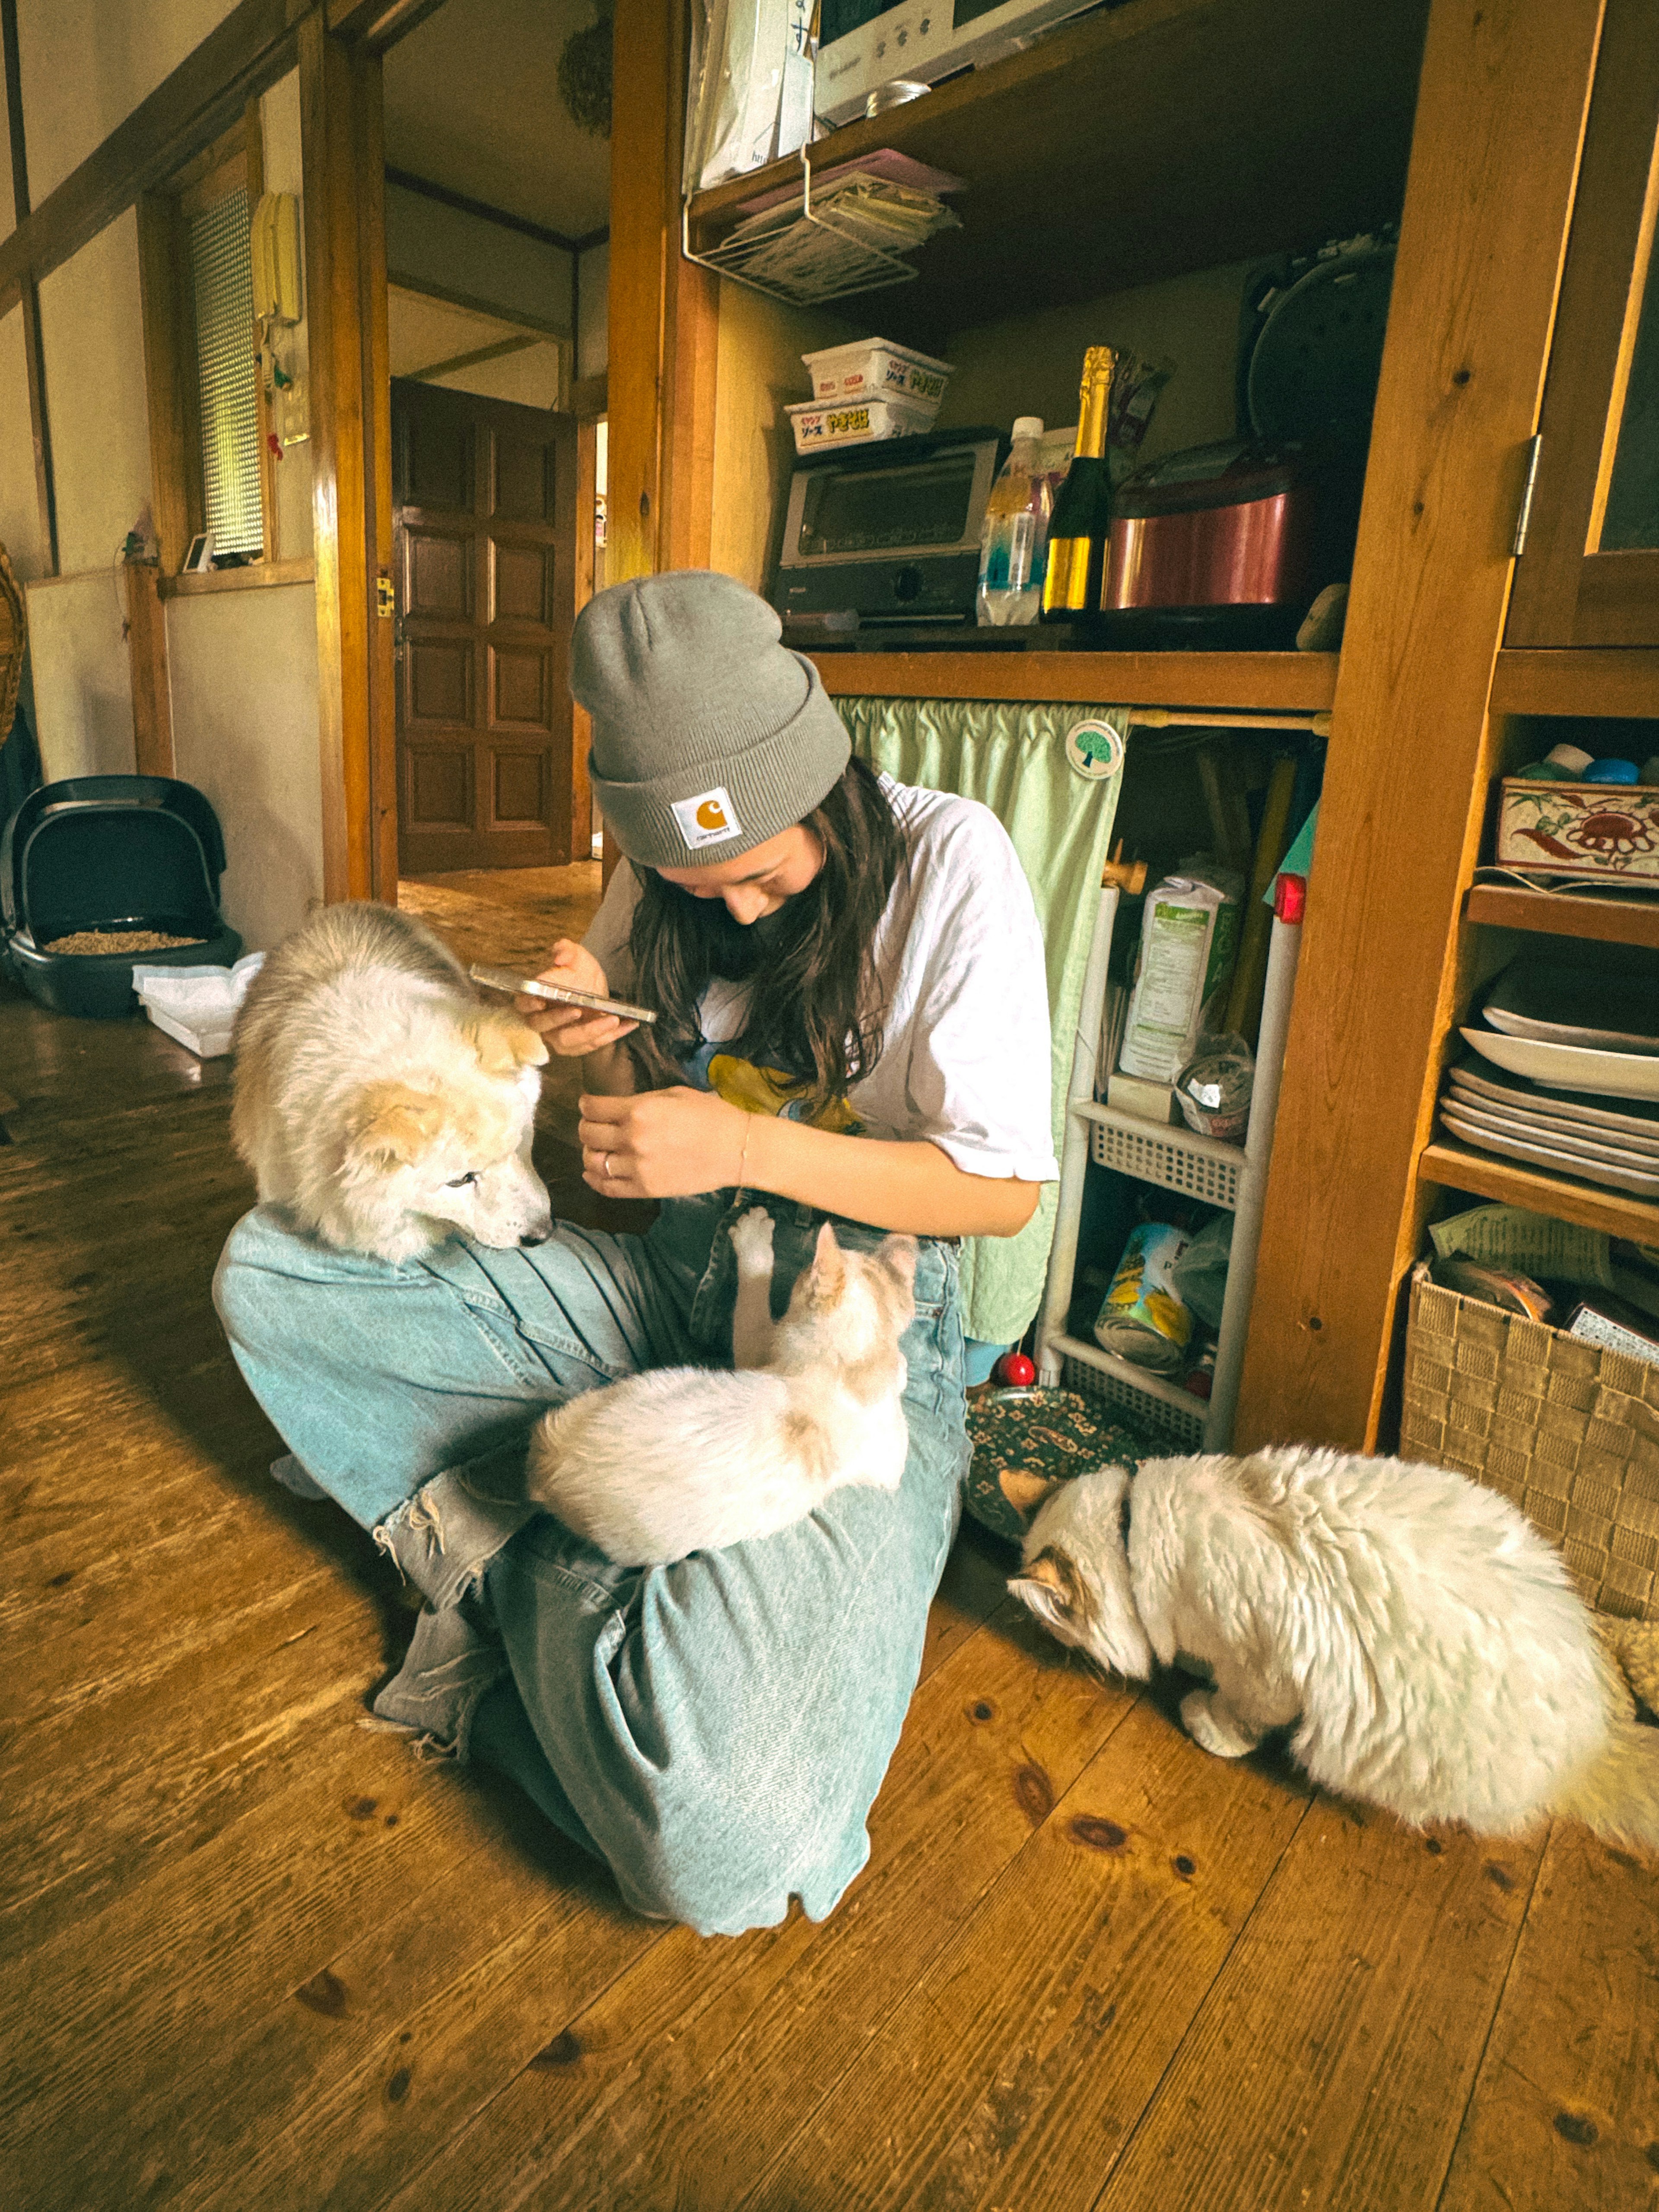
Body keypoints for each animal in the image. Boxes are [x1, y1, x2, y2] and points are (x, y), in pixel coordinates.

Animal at [1008, 1451, 1659, 1849]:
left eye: (1055, 1629)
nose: (1046, 1641)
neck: (1133, 1533)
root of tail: (1597, 1742)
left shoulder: (1265, 1664)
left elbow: (1239, 1714)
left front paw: (1206, 1720)